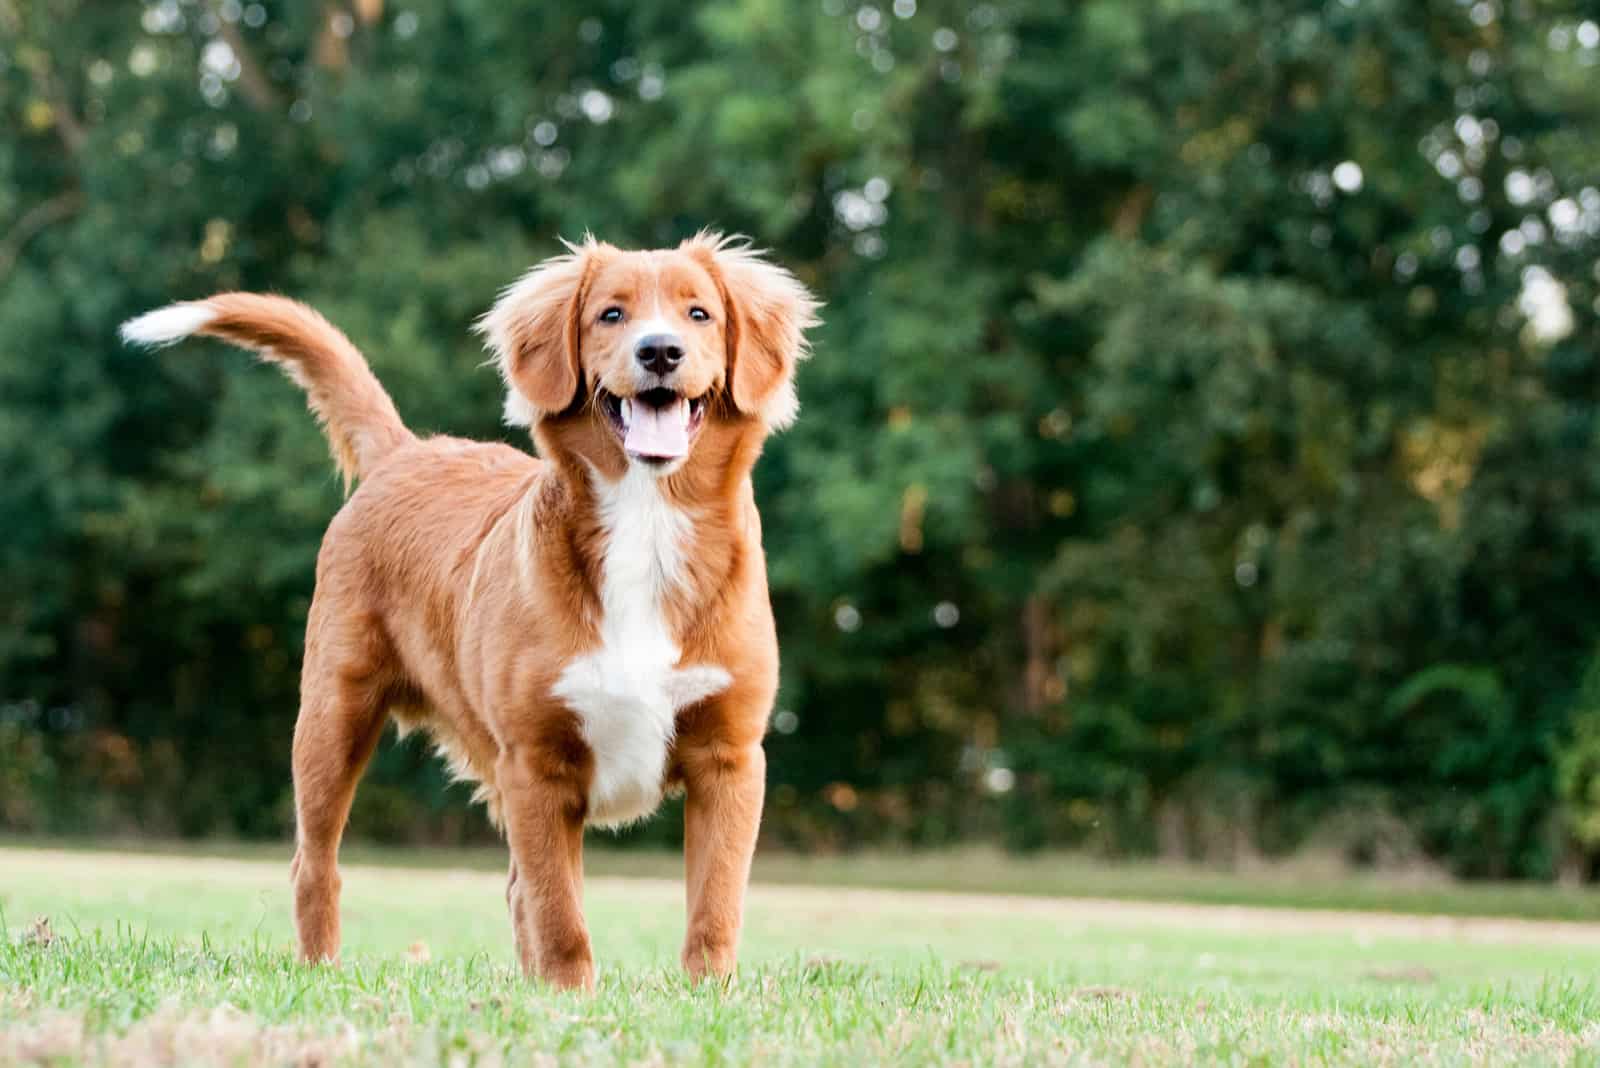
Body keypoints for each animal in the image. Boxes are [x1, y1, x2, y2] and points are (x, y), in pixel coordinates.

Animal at [123, 235, 819, 991]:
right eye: (610, 314)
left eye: (699, 314)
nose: (660, 351)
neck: (647, 520)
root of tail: (405, 451)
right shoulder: (535, 763)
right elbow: (559, 909)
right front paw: (569, 993)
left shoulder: (729, 756)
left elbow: (713, 905)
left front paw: (707, 995)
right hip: (332, 715)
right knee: (317, 864)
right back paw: (321, 966)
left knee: (514, 888)